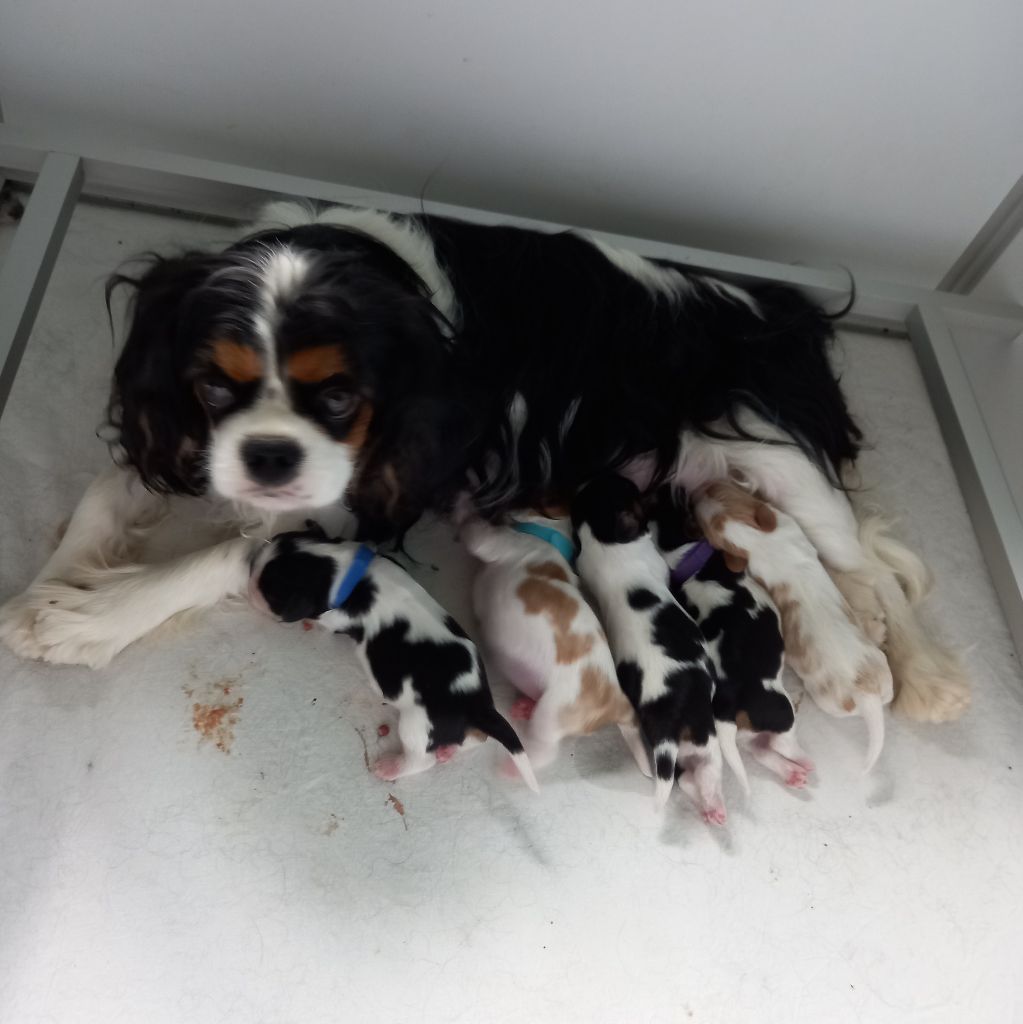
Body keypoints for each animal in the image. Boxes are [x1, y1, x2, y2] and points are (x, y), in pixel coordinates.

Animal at [249, 524, 536, 786]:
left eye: (271, 592)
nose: (249, 579)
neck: (349, 571)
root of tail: (477, 705)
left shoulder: (336, 618)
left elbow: (324, 622)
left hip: (416, 725)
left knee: (422, 759)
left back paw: (390, 767)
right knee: (475, 738)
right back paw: (447, 751)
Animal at [462, 507, 647, 778]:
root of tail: (616, 699)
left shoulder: (498, 543)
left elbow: (476, 534)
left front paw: (463, 508)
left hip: (552, 714)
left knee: (546, 752)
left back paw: (512, 768)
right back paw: (524, 707)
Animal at [577, 473, 729, 823]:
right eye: (631, 489)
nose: (631, 477)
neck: (603, 537)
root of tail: (668, 719)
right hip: (705, 735)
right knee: (708, 774)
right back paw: (716, 808)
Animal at [655, 487, 815, 790]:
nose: (678, 488)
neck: (688, 564)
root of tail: (727, 707)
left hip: (747, 734)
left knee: (761, 750)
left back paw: (792, 773)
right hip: (780, 713)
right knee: (784, 745)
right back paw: (804, 764)